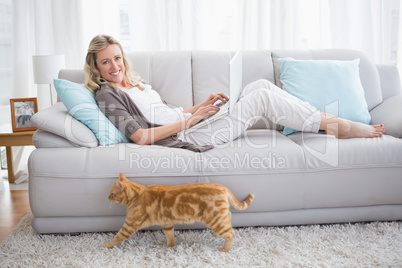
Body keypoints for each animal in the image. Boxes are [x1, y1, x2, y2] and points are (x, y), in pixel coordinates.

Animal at [104, 173, 254, 252]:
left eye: (112, 193)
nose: (107, 197)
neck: (139, 193)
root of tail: (222, 187)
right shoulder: (167, 223)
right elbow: (170, 236)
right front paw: (169, 246)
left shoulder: (129, 225)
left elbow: (117, 236)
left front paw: (107, 245)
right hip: (221, 217)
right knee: (229, 219)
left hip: (215, 220)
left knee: (231, 233)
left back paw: (225, 249)